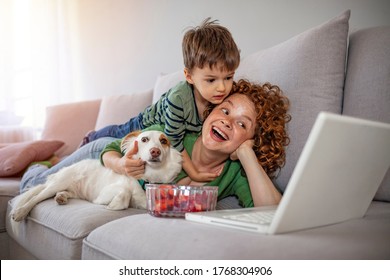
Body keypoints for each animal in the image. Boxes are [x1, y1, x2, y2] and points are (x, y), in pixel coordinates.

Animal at [10, 130, 183, 222]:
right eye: (144, 139)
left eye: (163, 141)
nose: (155, 151)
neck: (149, 177)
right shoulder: (109, 190)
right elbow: (124, 193)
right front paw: (111, 205)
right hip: (58, 182)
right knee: (35, 198)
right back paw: (20, 212)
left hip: (71, 190)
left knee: (63, 193)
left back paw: (61, 197)